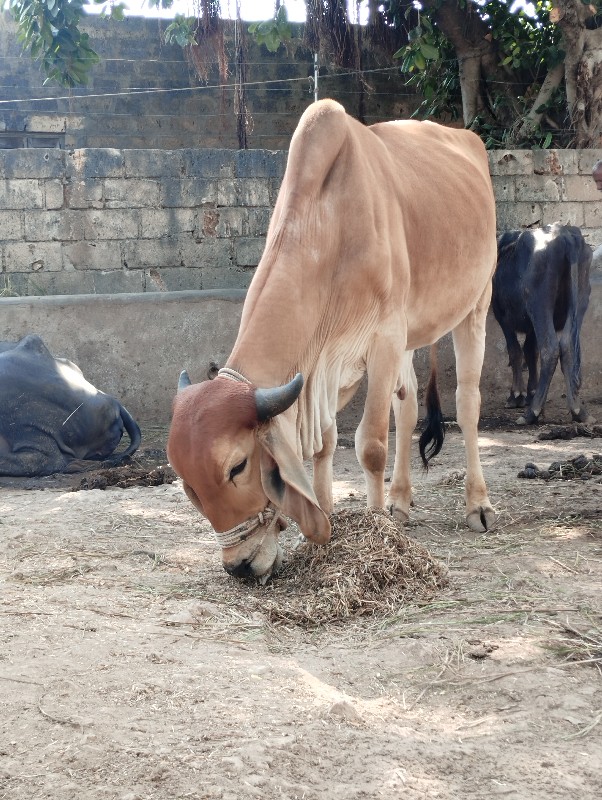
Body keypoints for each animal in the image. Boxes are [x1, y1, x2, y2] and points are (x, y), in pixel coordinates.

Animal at [166, 100, 494, 580]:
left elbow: (370, 445)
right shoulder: (326, 367)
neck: (331, 228)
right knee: (408, 406)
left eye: (238, 466)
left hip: (475, 304)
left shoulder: (383, 338)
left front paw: (377, 532)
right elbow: (324, 442)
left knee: (468, 403)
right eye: (188, 485)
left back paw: (478, 504)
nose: (239, 566)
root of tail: (466, 138)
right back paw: (400, 502)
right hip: (411, 336)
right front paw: (327, 528)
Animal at [492, 222, 592, 424]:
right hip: (580, 300)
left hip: (539, 305)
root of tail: (563, 233)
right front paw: (530, 392)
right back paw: (578, 411)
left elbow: (516, 351)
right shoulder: (530, 327)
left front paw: (517, 395)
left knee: (551, 349)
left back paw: (532, 412)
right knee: (567, 347)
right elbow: (531, 352)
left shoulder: (503, 318)